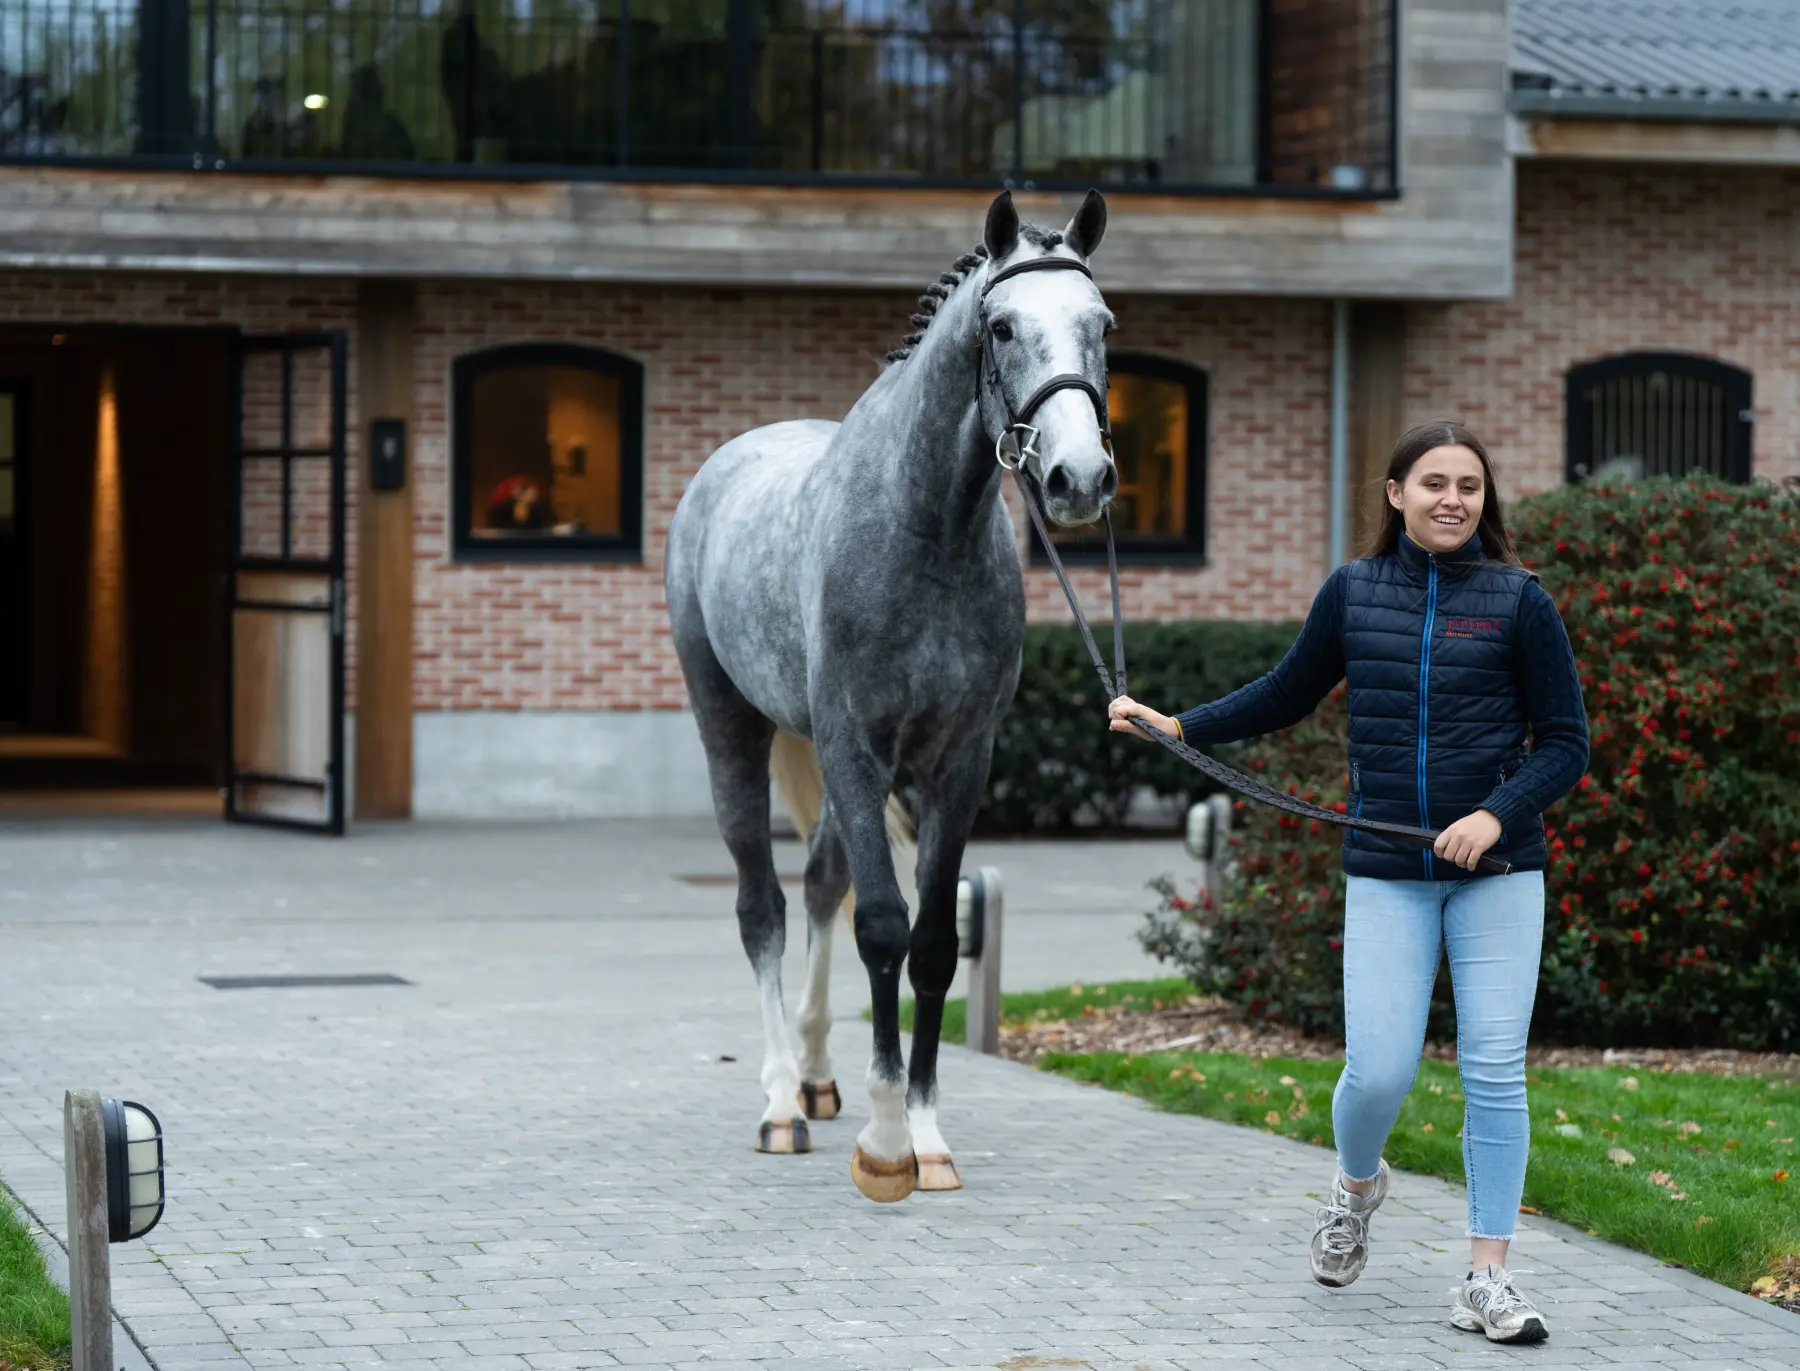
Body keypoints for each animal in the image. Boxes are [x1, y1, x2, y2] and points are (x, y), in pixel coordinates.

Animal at [664, 189, 1118, 1201]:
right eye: (1001, 326)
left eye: (1103, 325)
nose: (1077, 478)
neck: (924, 534)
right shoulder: (854, 747)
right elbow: (882, 927)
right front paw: (882, 1145)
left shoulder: (959, 762)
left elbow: (935, 943)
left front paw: (927, 1135)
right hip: (732, 731)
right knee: (763, 905)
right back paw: (782, 1103)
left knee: (819, 882)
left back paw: (817, 1075)